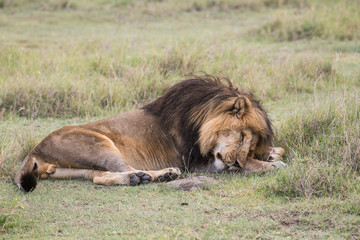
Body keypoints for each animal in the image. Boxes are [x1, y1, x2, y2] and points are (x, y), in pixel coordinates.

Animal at [14, 76, 286, 192]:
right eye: (241, 137)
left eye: (250, 144)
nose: (236, 163)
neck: (202, 114)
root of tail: (34, 151)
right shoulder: (197, 163)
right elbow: (252, 165)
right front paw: (271, 164)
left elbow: (274, 150)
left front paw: (272, 154)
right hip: (100, 143)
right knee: (123, 168)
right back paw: (162, 175)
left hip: (81, 166)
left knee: (98, 177)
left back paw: (139, 179)